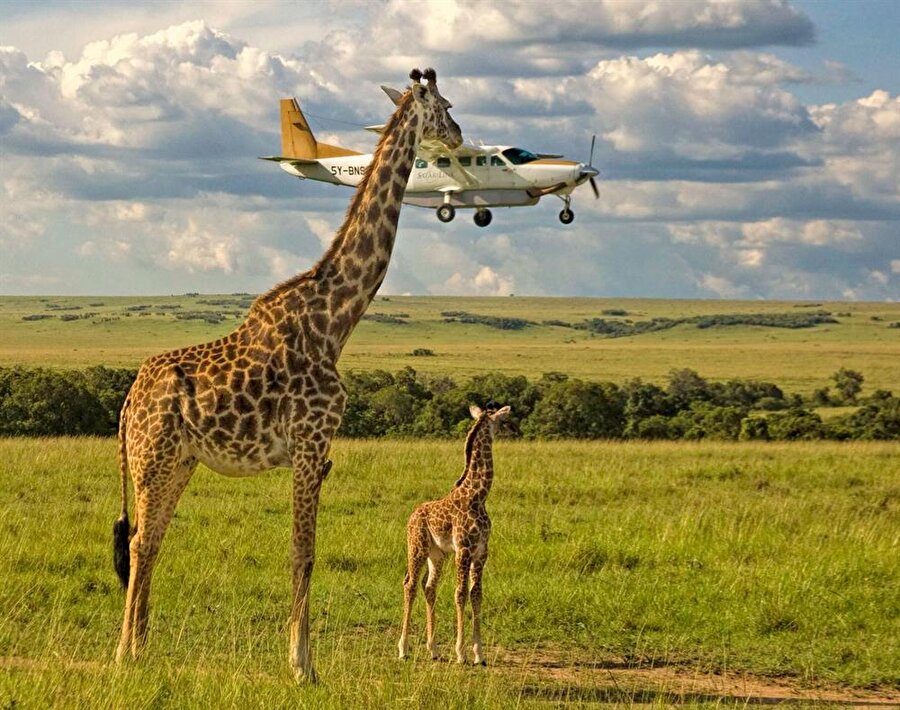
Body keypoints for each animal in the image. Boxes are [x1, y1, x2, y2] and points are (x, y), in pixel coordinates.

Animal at [112, 68, 460, 684]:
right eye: (443, 105)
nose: (461, 135)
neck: (337, 319)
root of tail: (129, 402)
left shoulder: (318, 452)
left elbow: (304, 551)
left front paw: (300, 659)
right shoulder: (309, 443)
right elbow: (304, 551)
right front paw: (303, 666)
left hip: (178, 461)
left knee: (149, 542)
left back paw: (140, 649)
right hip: (151, 459)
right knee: (138, 543)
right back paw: (126, 654)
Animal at [398, 406, 510, 668]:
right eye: (500, 420)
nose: (511, 429)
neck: (478, 496)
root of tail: (411, 516)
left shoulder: (481, 551)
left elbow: (476, 594)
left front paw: (479, 654)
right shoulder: (464, 549)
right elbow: (460, 593)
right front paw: (461, 653)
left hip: (436, 554)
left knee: (429, 587)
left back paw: (433, 650)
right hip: (417, 547)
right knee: (410, 584)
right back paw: (403, 649)